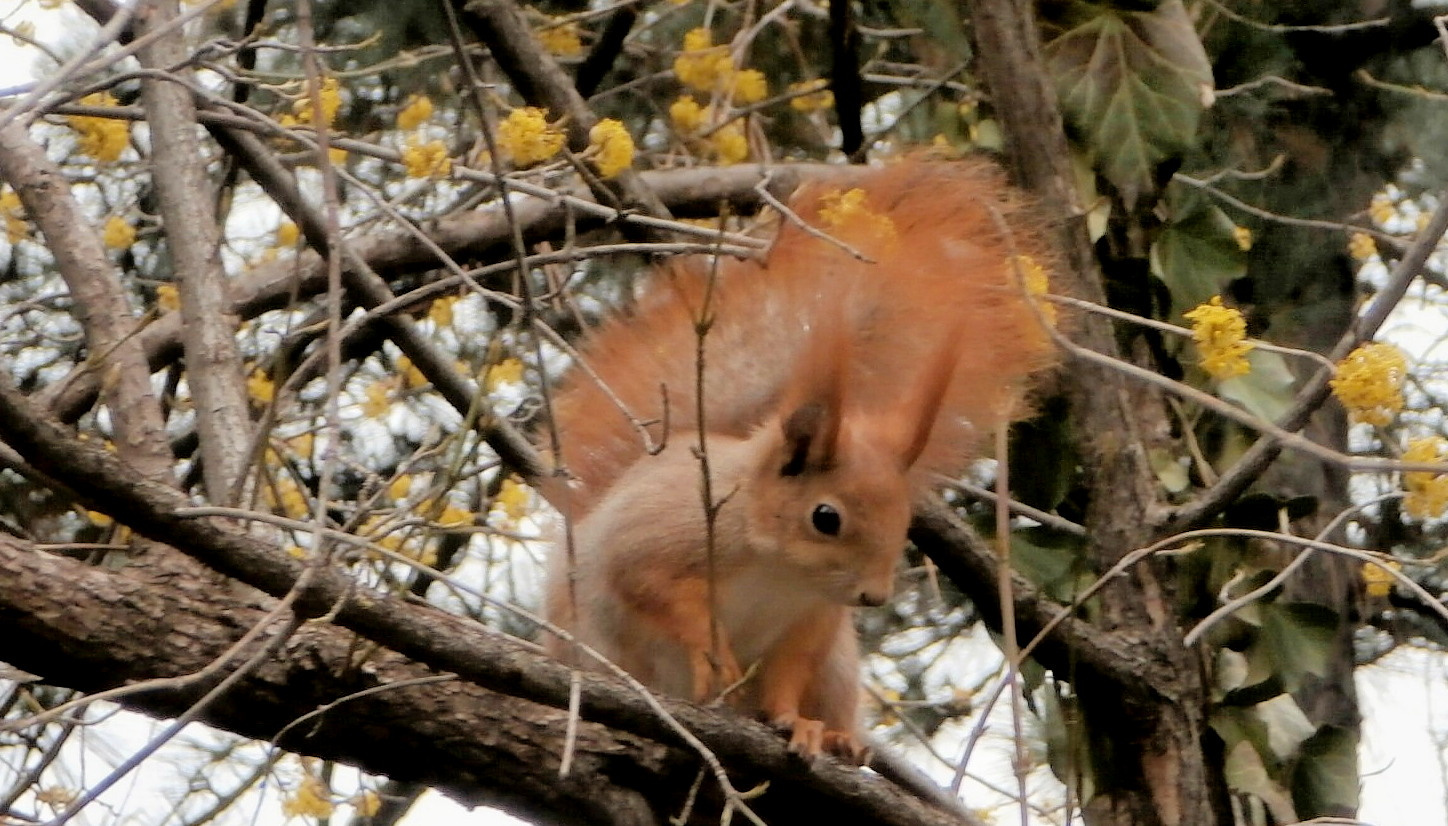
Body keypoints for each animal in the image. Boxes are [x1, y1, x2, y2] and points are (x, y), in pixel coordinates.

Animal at [538, 157, 1059, 759]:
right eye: (825, 517)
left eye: (905, 520)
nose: (874, 596)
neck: (777, 570)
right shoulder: (653, 541)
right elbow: (657, 592)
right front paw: (715, 659)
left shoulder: (810, 619)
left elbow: (788, 672)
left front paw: (795, 723)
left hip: (836, 669)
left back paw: (839, 738)